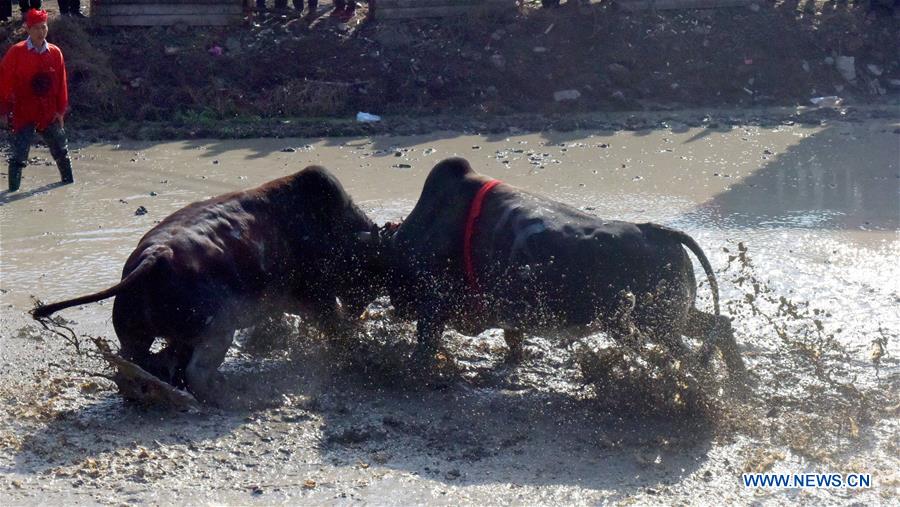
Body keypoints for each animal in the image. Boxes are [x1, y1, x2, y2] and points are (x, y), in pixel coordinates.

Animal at [32, 166, 383, 403]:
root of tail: (154, 258)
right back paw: (224, 396)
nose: (360, 306)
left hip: (137, 336)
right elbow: (335, 327)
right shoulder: (317, 299)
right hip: (218, 332)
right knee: (195, 372)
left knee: (137, 364)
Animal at [383, 158, 745, 379]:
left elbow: (425, 347)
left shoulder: (433, 308)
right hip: (673, 317)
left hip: (656, 327)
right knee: (721, 327)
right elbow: (513, 340)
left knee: (694, 360)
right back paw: (741, 387)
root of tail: (656, 231)